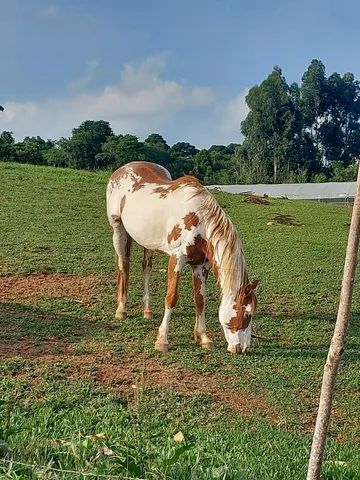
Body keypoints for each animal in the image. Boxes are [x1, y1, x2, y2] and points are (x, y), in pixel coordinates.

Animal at [105, 161, 258, 352]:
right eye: (247, 314)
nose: (242, 349)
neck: (199, 220)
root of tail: (123, 168)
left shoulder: (201, 265)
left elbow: (200, 299)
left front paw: (203, 337)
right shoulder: (176, 259)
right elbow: (171, 297)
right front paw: (162, 340)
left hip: (148, 241)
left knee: (146, 268)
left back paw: (147, 311)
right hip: (118, 231)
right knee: (123, 266)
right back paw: (121, 309)